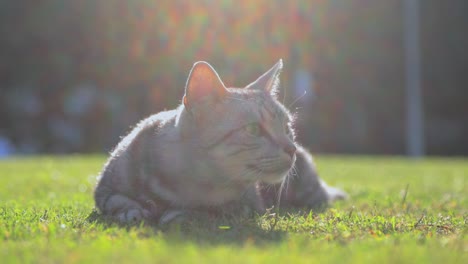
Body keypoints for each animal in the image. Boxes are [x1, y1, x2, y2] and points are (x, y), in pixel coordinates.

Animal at [93, 59, 346, 225]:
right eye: (253, 129)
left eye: (287, 128)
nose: (291, 148)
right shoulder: (105, 187)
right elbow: (116, 199)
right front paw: (132, 210)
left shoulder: (249, 206)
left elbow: (214, 212)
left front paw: (181, 214)